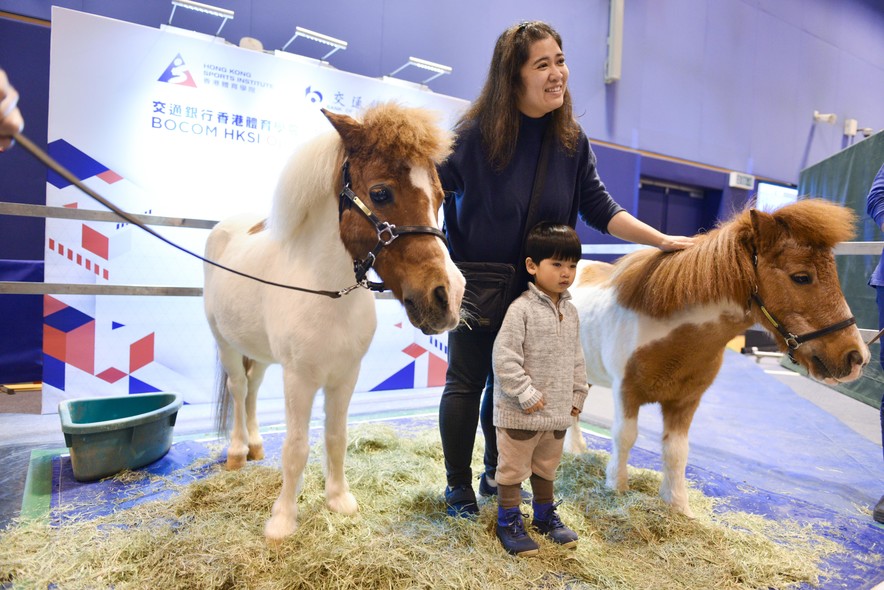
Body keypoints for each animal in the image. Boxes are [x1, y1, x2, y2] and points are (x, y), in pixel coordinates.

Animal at [200, 103, 462, 540]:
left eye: (441, 197)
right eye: (381, 192)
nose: (448, 296)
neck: (328, 294)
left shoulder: (344, 377)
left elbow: (336, 437)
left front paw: (339, 501)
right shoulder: (299, 379)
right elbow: (296, 446)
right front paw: (282, 521)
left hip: (262, 354)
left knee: (253, 389)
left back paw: (255, 446)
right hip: (225, 342)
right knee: (239, 388)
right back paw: (237, 452)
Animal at [564, 199, 868, 520]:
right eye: (801, 277)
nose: (856, 357)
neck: (667, 331)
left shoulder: (686, 401)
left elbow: (677, 451)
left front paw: (678, 505)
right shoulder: (627, 393)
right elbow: (624, 437)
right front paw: (616, 488)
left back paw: (577, 449)